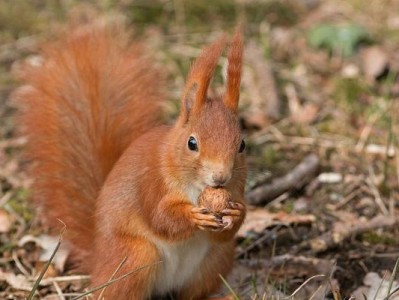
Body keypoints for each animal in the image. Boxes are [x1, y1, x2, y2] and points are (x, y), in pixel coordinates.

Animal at [16, 20, 247, 298]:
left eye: (242, 144)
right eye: (192, 143)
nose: (221, 176)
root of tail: (98, 260)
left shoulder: (236, 191)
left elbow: (226, 231)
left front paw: (236, 212)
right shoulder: (151, 183)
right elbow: (160, 218)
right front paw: (193, 216)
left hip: (215, 261)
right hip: (136, 257)